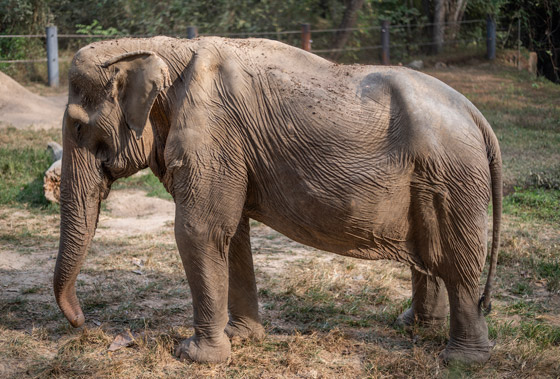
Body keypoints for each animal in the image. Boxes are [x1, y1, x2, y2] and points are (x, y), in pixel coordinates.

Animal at [54, 35, 500, 366]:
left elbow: (199, 231)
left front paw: (195, 356)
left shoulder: (213, 133)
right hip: (436, 179)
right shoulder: (230, 148)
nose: (85, 324)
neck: (159, 47)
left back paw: (461, 360)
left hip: (453, 177)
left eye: (77, 128)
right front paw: (242, 337)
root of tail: (478, 117)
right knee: (432, 256)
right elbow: (231, 235)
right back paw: (412, 327)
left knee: (458, 263)